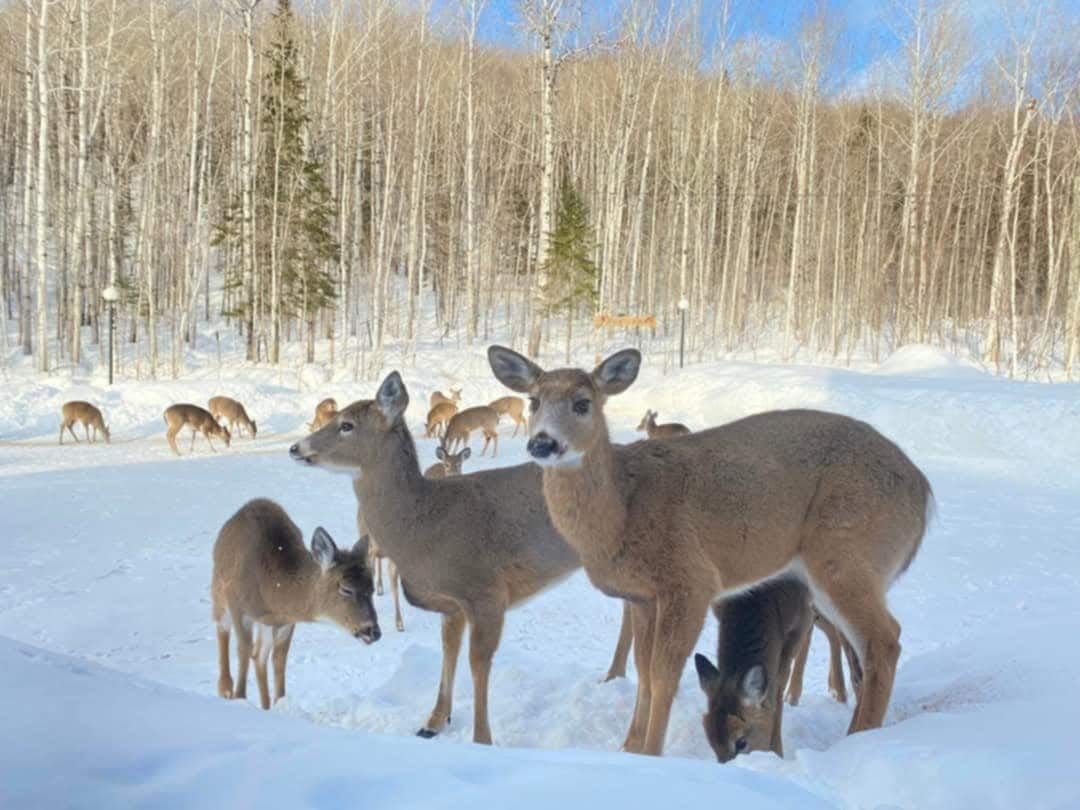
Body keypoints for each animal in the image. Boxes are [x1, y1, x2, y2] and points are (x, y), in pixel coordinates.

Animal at [212, 498, 380, 710]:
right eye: (346, 588)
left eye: (372, 588)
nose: (373, 631)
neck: (270, 589)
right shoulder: (237, 604)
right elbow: (243, 649)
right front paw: (238, 696)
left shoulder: (286, 622)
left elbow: (279, 660)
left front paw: (279, 702)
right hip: (218, 589)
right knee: (223, 629)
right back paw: (225, 688)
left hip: (265, 624)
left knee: (259, 657)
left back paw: (265, 705)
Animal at [288, 374, 633, 745]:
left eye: (347, 425)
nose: (295, 448)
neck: (425, 525)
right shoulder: (451, 603)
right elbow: (448, 650)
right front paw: (433, 722)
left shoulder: (486, 591)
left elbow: (477, 662)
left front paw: (482, 739)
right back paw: (613, 677)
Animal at [488, 345, 932, 756]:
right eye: (534, 400)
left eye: (583, 403)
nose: (542, 442)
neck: (623, 508)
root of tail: (923, 492)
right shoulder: (642, 597)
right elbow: (643, 673)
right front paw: (628, 749)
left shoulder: (690, 580)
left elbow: (664, 676)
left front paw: (650, 753)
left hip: (846, 550)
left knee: (885, 640)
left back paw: (859, 741)